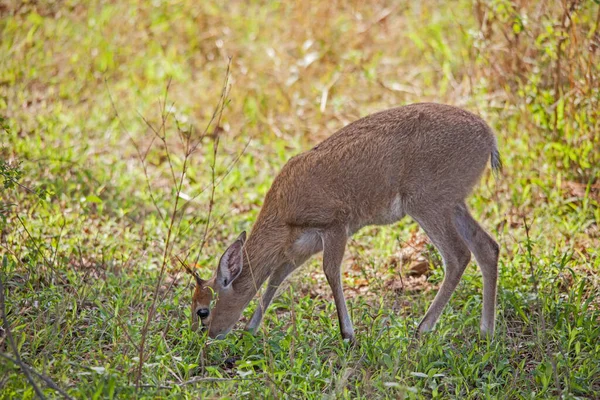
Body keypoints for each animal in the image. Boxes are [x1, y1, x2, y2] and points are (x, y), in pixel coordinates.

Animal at [184, 102, 502, 340]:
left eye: (203, 310)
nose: (208, 336)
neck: (284, 210)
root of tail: (489, 136)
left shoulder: (335, 226)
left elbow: (330, 272)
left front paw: (347, 333)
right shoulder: (301, 248)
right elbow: (276, 278)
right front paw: (251, 328)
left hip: (428, 205)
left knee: (458, 255)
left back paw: (423, 328)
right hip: (454, 205)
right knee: (488, 247)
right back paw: (486, 332)